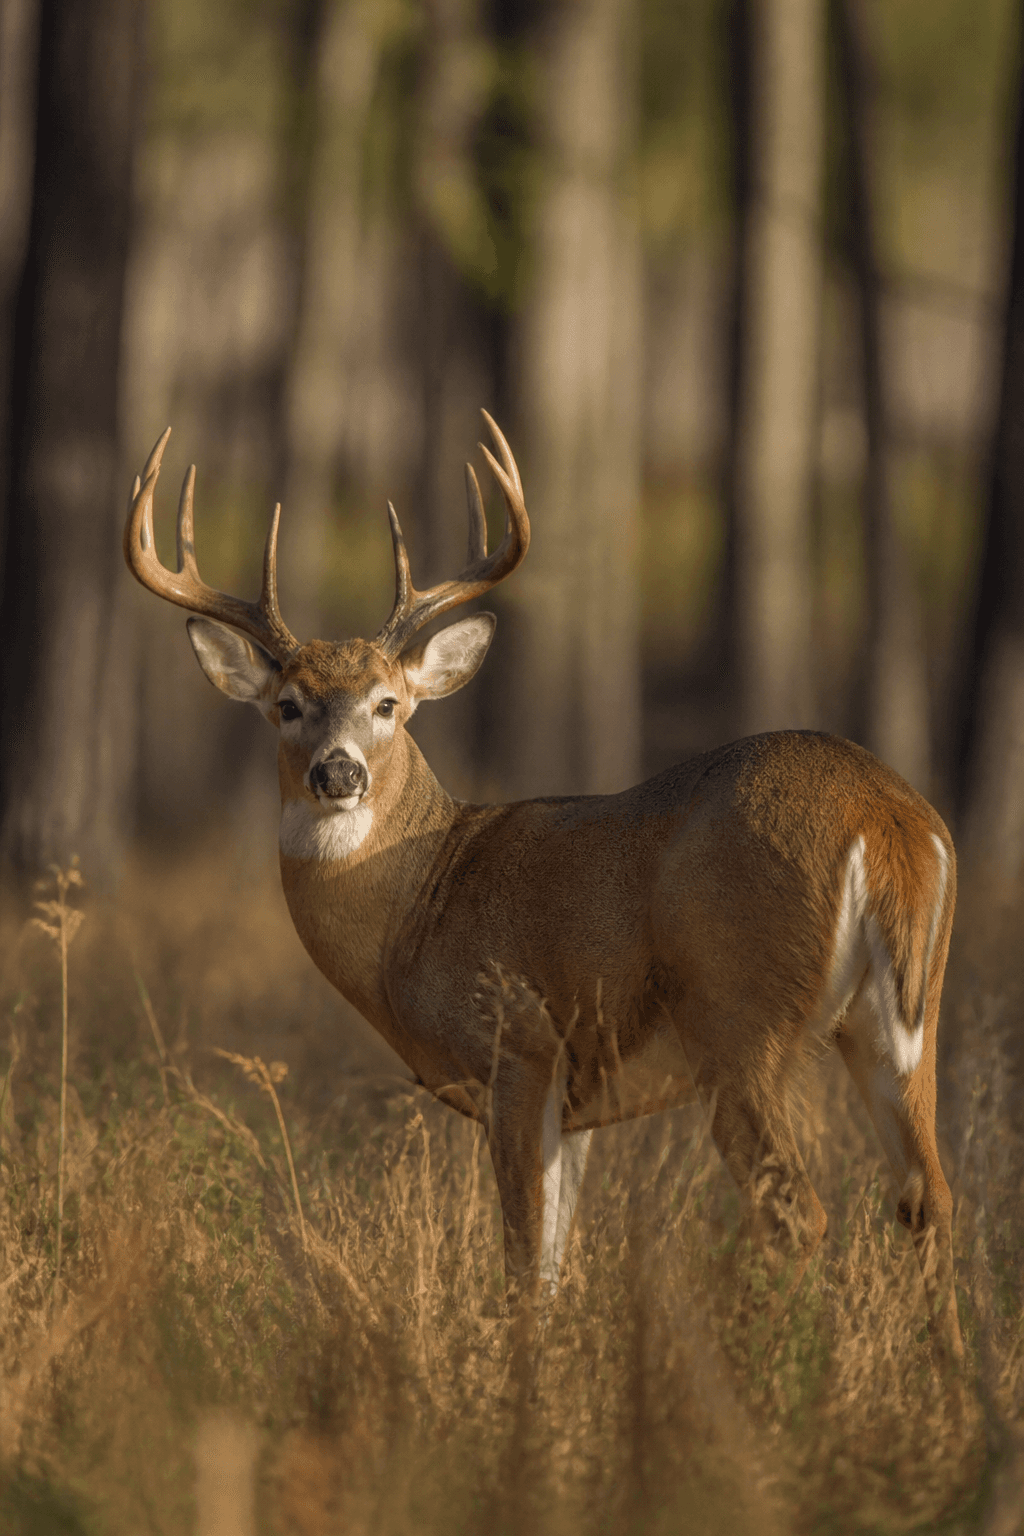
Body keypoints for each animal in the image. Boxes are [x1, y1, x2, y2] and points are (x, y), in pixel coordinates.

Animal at [124, 413, 963, 1364]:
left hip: (735, 1016)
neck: (420, 905)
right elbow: (557, 1263)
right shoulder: (578, 1100)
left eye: (386, 702)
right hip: (900, 1023)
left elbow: (524, 1258)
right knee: (928, 1199)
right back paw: (954, 1386)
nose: (338, 773)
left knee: (798, 1211)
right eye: (290, 704)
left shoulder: (519, 1043)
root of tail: (886, 820)